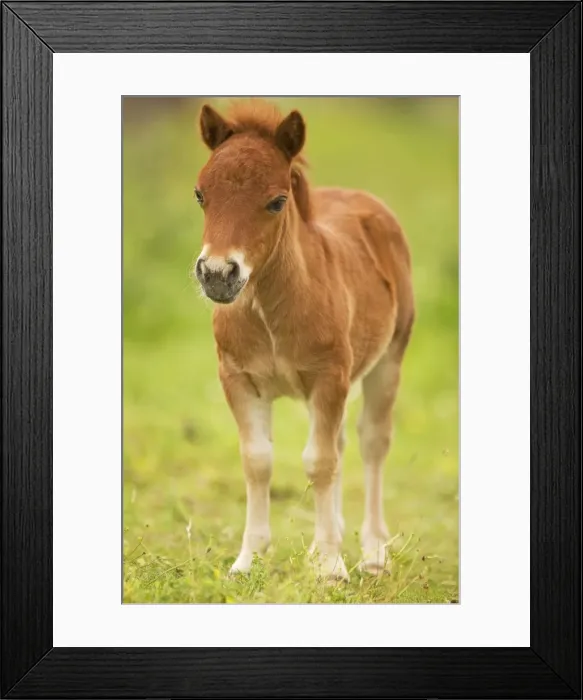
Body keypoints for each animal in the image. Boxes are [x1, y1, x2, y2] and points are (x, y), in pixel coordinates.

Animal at [193, 100, 414, 581]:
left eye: (277, 201)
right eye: (200, 194)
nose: (217, 274)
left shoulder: (328, 378)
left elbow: (320, 461)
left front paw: (332, 568)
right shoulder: (238, 379)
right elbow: (258, 461)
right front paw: (248, 561)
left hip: (388, 359)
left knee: (372, 442)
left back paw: (373, 553)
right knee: (342, 443)